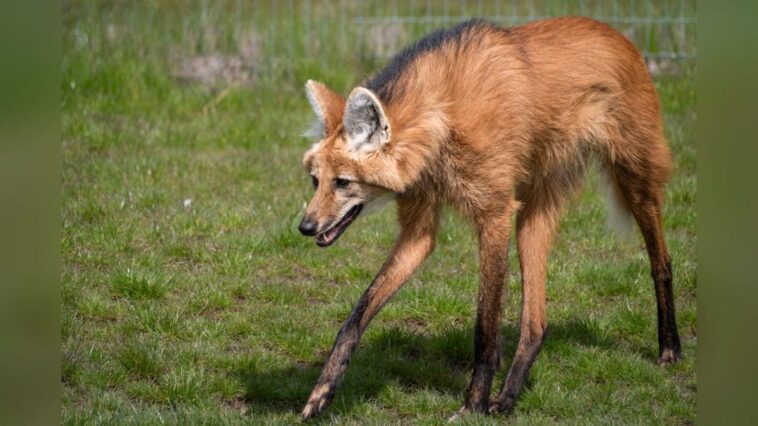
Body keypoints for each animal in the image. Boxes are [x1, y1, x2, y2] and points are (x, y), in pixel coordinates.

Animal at [297, 17, 681, 419]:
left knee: (661, 259)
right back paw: (509, 397)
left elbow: (485, 327)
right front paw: (322, 391)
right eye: (315, 181)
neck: (443, 121)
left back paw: (670, 347)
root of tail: (620, 36)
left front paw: (473, 405)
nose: (305, 227)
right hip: (532, 215)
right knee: (536, 322)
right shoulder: (420, 229)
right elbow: (357, 315)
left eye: (343, 182)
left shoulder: (495, 215)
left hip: (635, 180)